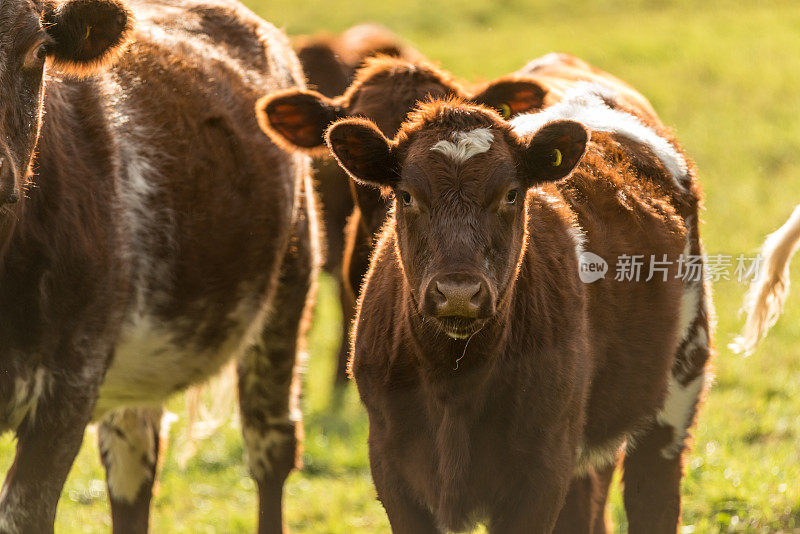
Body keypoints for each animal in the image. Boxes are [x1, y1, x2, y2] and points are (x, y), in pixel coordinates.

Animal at [0, 0, 318, 532]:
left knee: (270, 449)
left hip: (288, 292)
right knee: (133, 470)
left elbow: (23, 512)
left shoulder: (69, 386)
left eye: (38, 49)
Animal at [324, 90, 712, 532]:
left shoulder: (541, 470)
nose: (458, 292)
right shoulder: (391, 465)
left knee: (654, 492)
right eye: (406, 195)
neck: (453, 380)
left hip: (677, 391)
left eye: (510, 193)